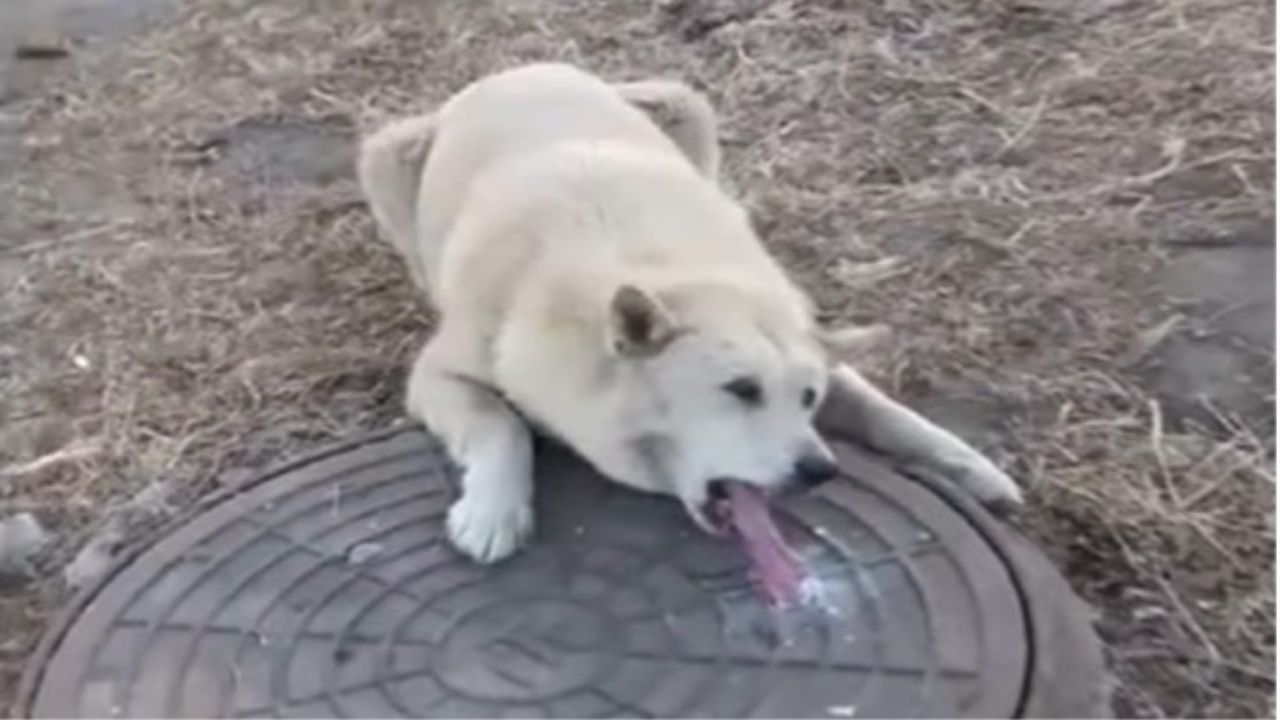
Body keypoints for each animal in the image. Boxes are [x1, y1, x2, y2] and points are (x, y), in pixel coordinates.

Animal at [358, 63, 1018, 561]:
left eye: (808, 399)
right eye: (740, 390)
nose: (820, 470)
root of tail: (521, 68)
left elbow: (886, 412)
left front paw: (972, 468)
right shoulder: (438, 374)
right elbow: (502, 425)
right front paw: (493, 511)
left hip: (686, 108)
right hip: (386, 157)